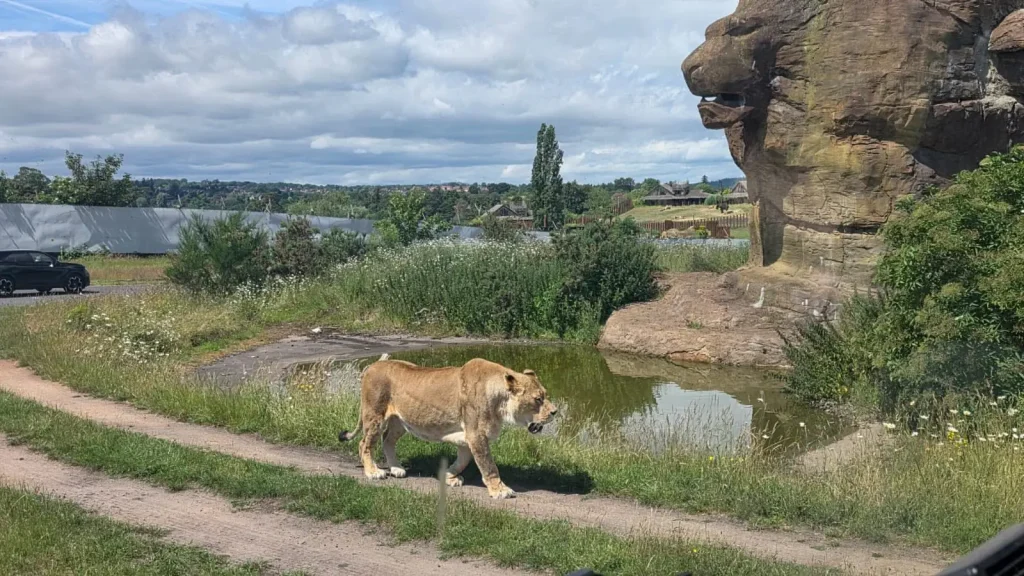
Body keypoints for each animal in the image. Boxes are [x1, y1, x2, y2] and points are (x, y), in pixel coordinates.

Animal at [339, 354, 558, 499]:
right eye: (538, 399)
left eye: (545, 395)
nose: (555, 412)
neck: (500, 402)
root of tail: (375, 363)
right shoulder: (476, 435)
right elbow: (488, 465)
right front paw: (500, 490)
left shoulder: (467, 437)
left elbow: (463, 461)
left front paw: (448, 477)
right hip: (374, 415)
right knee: (364, 444)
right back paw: (373, 472)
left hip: (400, 421)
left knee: (387, 440)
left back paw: (397, 468)